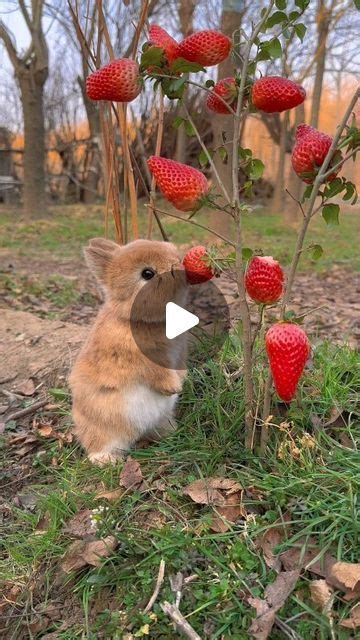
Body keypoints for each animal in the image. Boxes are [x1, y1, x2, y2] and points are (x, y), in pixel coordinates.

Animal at [68, 236, 190, 464]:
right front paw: (174, 387)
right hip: (104, 427)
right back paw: (106, 460)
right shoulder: (143, 358)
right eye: (147, 274)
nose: (181, 265)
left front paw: (181, 381)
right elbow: (157, 373)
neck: (137, 319)